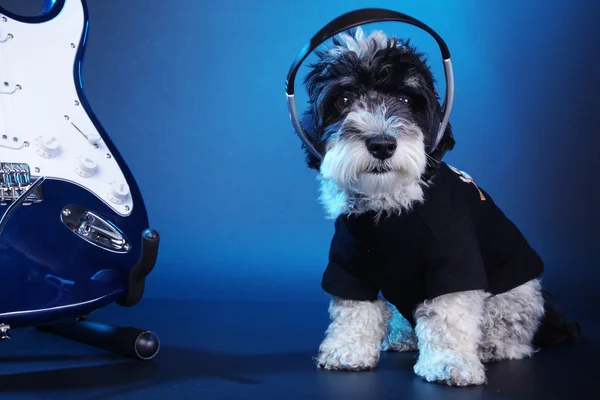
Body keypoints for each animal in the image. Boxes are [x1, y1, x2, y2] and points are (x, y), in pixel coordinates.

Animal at [300, 26, 580, 386]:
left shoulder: (455, 253)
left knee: (513, 332)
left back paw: (492, 346)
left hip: (518, 295)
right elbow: (354, 308)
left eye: (407, 100)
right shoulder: (348, 261)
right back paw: (403, 335)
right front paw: (348, 349)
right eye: (343, 100)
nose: (382, 144)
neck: (390, 207)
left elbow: (449, 313)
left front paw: (450, 361)